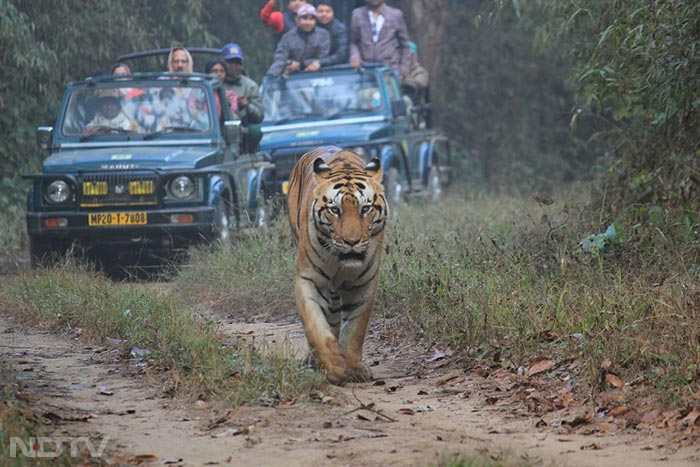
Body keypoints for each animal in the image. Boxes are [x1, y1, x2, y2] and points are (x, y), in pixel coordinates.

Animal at [286, 147, 388, 388]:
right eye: (335, 210)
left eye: (365, 209)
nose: (351, 241)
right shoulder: (309, 279)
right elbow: (316, 326)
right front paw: (335, 368)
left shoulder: (364, 284)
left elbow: (354, 330)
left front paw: (354, 368)